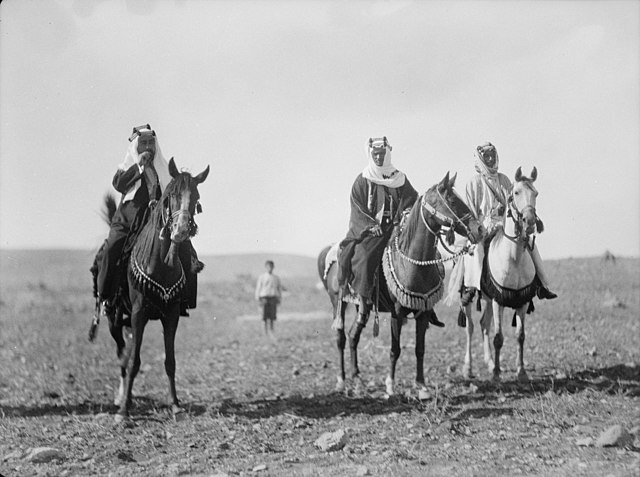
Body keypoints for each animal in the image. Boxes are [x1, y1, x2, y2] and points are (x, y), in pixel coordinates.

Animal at [90, 158, 209, 422]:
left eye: (196, 196)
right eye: (172, 194)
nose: (180, 231)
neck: (160, 264)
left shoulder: (171, 315)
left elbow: (170, 361)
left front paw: (175, 405)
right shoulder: (138, 314)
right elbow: (134, 362)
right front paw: (123, 411)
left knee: (127, 352)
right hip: (114, 319)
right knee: (123, 357)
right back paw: (121, 398)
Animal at [318, 172, 484, 396]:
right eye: (451, 200)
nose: (480, 229)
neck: (411, 262)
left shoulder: (423, 311)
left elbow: (420, 349)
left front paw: (421, 385)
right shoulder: (397, 313)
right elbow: (394, 350)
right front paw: (390, 385)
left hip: (362, 306)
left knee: (353, 335)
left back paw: (357, 378)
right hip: (338, 301)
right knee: (340, 337)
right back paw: (342, 380)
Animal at [459, 166, 543, 382]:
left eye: (536, 193)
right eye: (516, 193)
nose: (530, 221)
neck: (514, 259)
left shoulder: (521, 301)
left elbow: (520, 336)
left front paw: (521, 372)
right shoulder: (499, 301)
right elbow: (498, 338)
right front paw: (497, 374)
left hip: (488, 300)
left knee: (484, 325)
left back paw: (489, 363)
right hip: (471, 298)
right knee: (470, 327)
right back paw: (468, 368)